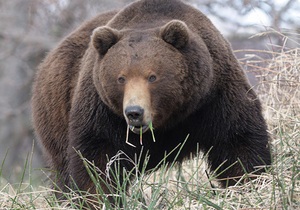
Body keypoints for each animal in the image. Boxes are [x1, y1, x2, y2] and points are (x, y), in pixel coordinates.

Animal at [32, 0, 272, 204]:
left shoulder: (214, 97)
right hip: (56, 112)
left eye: (152, 76)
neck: (167, 120)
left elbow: (237, 143)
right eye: (121, 78)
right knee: (62, 168)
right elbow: (97, 159)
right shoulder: (102, 111)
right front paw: (97, 198)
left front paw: (249, 186)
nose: (134, 112)